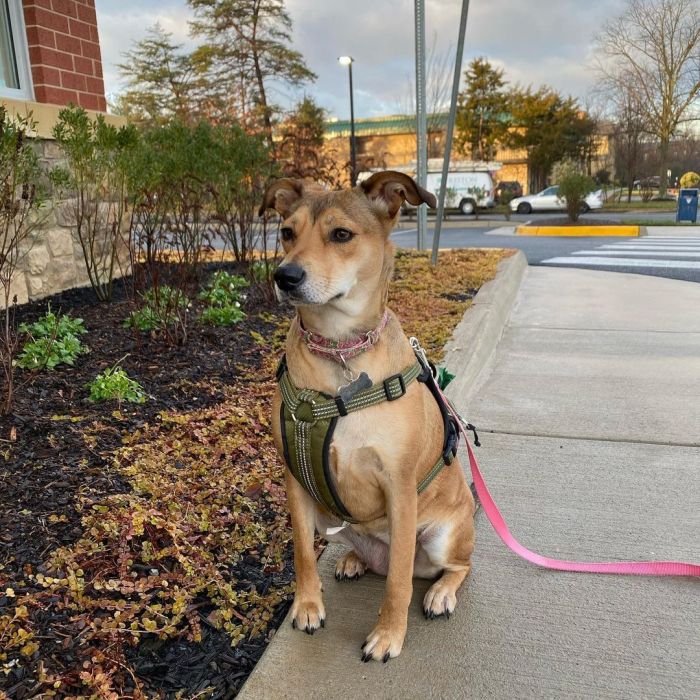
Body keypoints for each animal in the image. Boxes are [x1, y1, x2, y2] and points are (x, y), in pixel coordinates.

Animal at [262, 170, 476, 660]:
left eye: (341, 235)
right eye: (287, 233)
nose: (284, 275)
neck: (339, 348)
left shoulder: (399, 488)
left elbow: (397, 582)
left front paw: (388, 635)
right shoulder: (295, 481)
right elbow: (303, 553)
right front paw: (307, 605)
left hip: (443, 536)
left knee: (455, 565)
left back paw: (440, 592)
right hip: (331, 520)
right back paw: (355, 559)